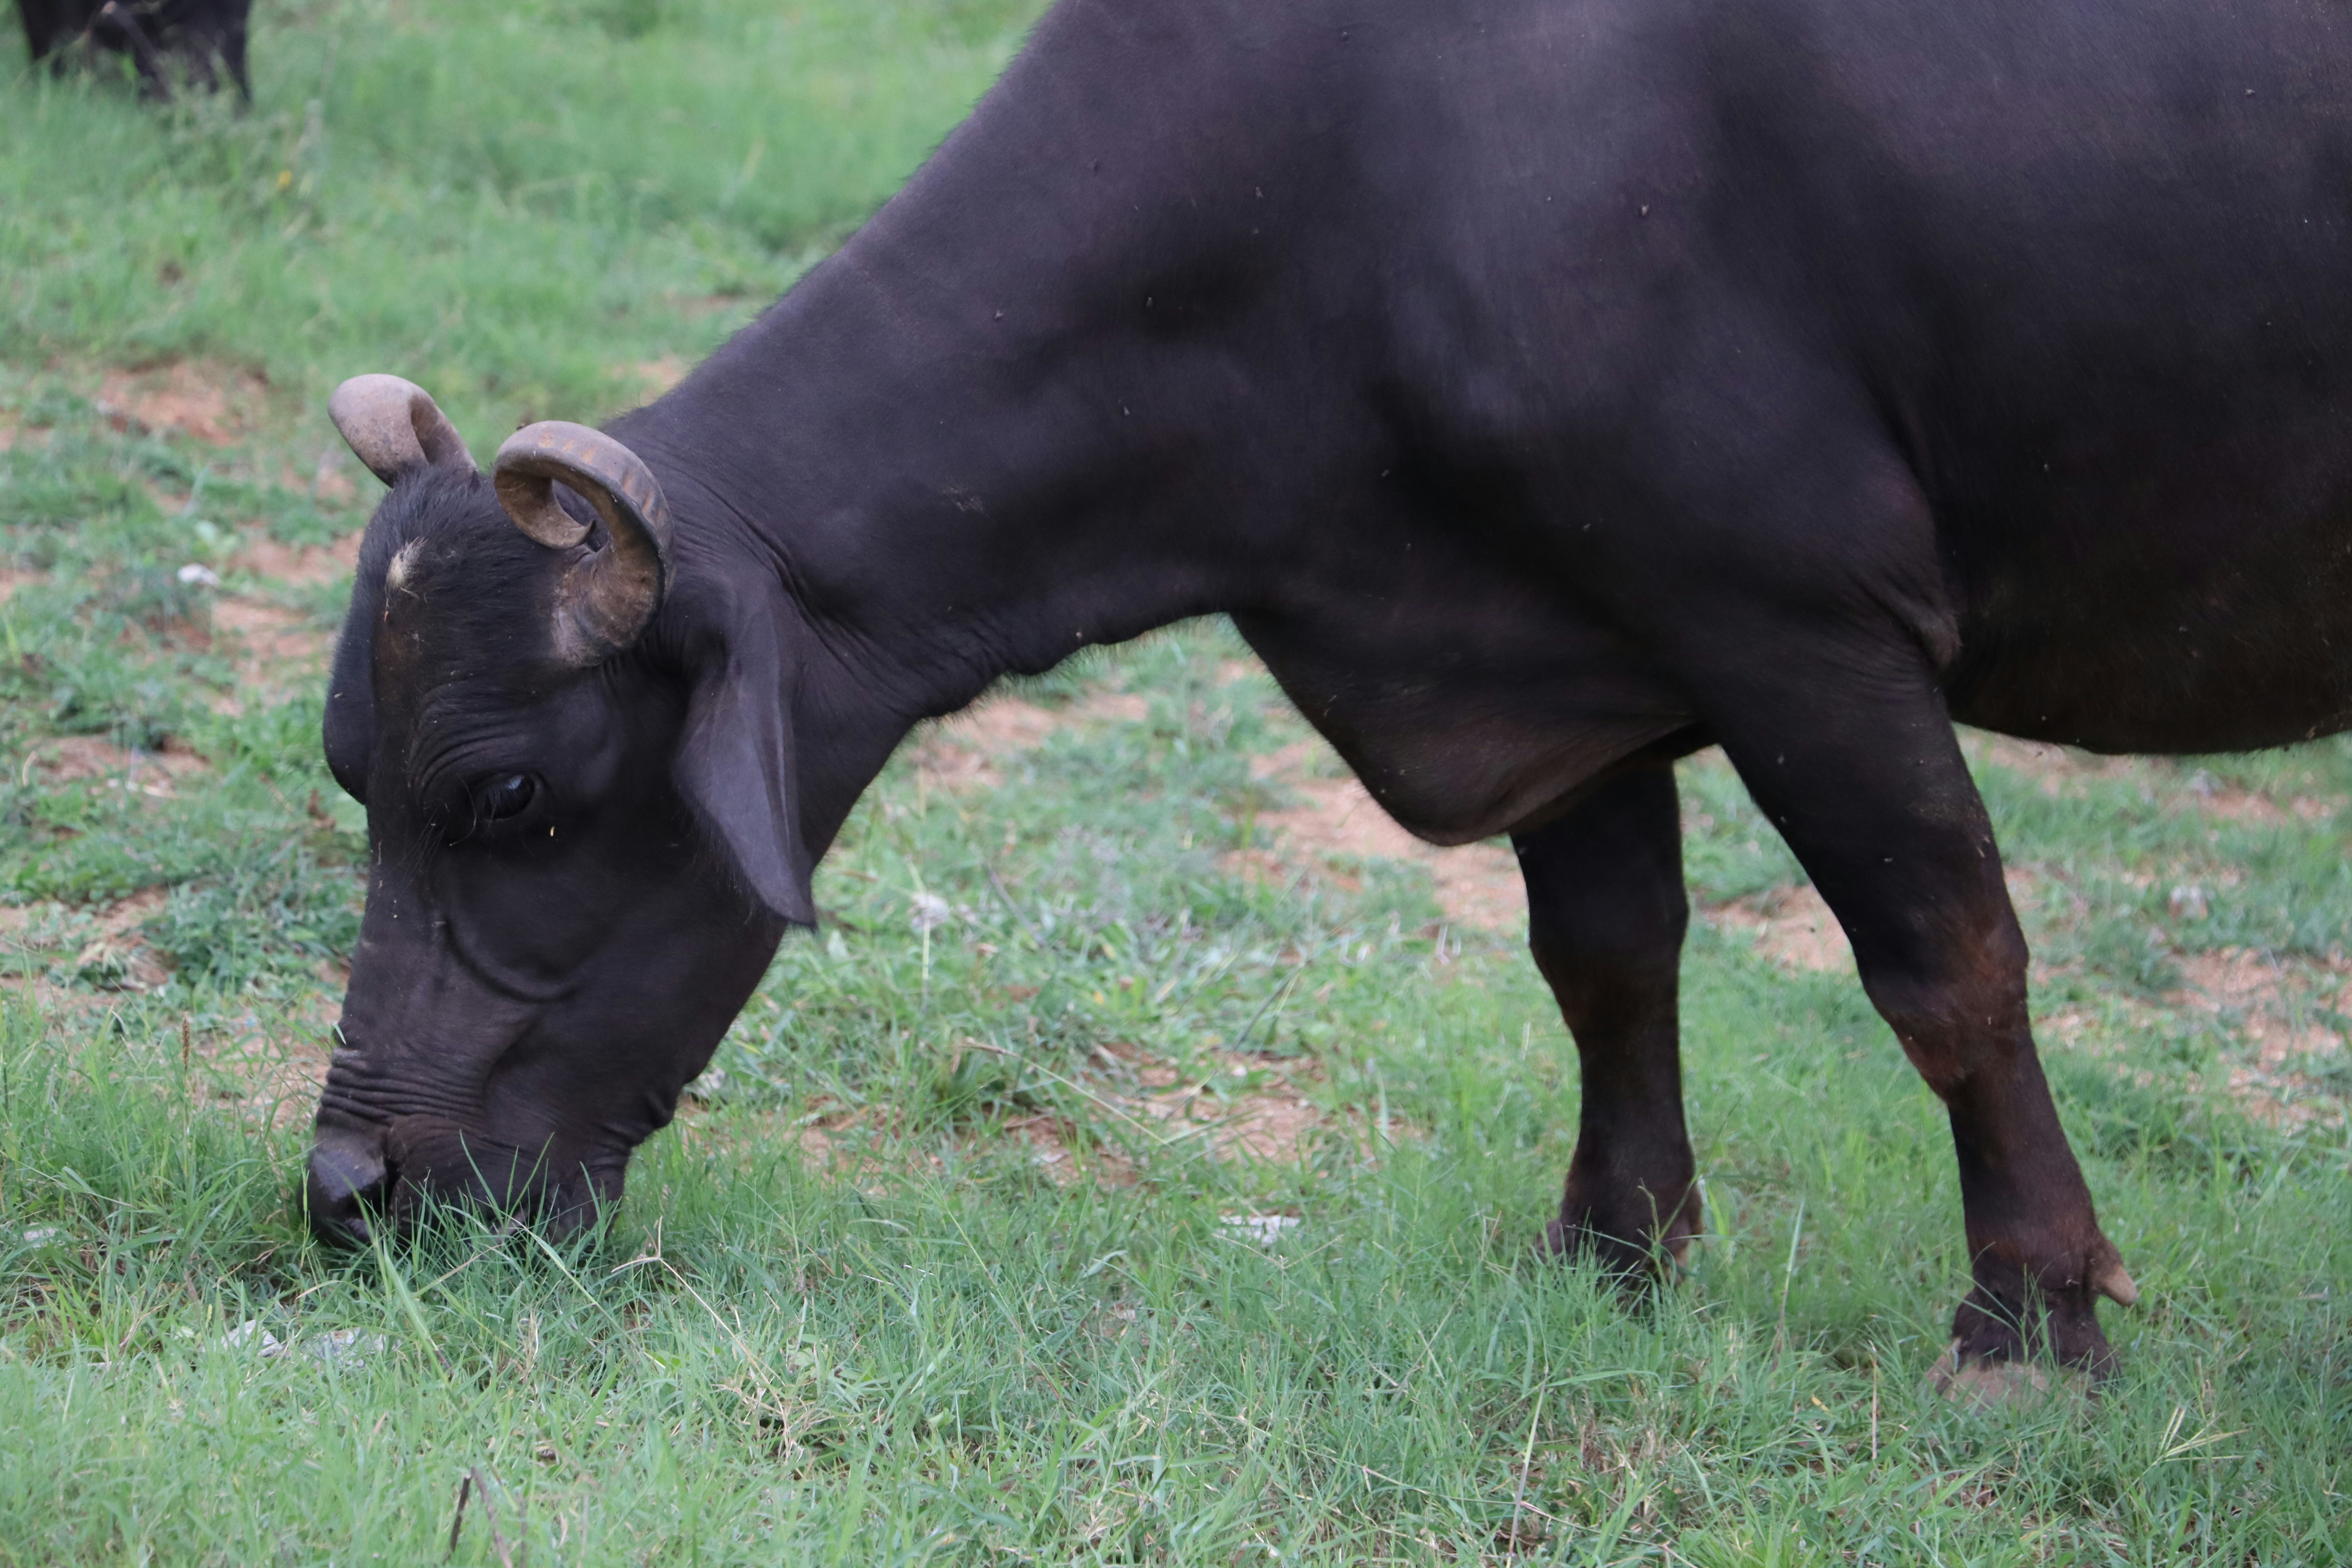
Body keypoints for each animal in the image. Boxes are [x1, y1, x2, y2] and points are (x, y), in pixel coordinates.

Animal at [304, 0, 2352, 1390]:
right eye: (353, 779)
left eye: (509, 797)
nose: (346, 1188)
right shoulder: (1567, 656)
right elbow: (1607, 960)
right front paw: (1611, 1256)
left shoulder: (1799, 621)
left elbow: (1949, 966)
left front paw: (2030, 1316)